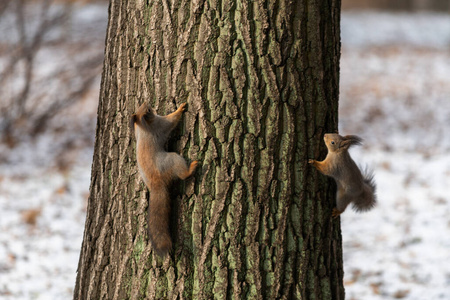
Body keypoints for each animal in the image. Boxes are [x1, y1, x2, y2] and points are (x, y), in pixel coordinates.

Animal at [132, 102, 199, 256]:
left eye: (142, 106)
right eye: (148, 110)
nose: (147, 102)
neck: (142, 126)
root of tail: (156, 182)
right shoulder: (160, 124)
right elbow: (171, 120)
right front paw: (180, 108)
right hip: (172, 160)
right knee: (182, 174)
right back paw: (192, 168)